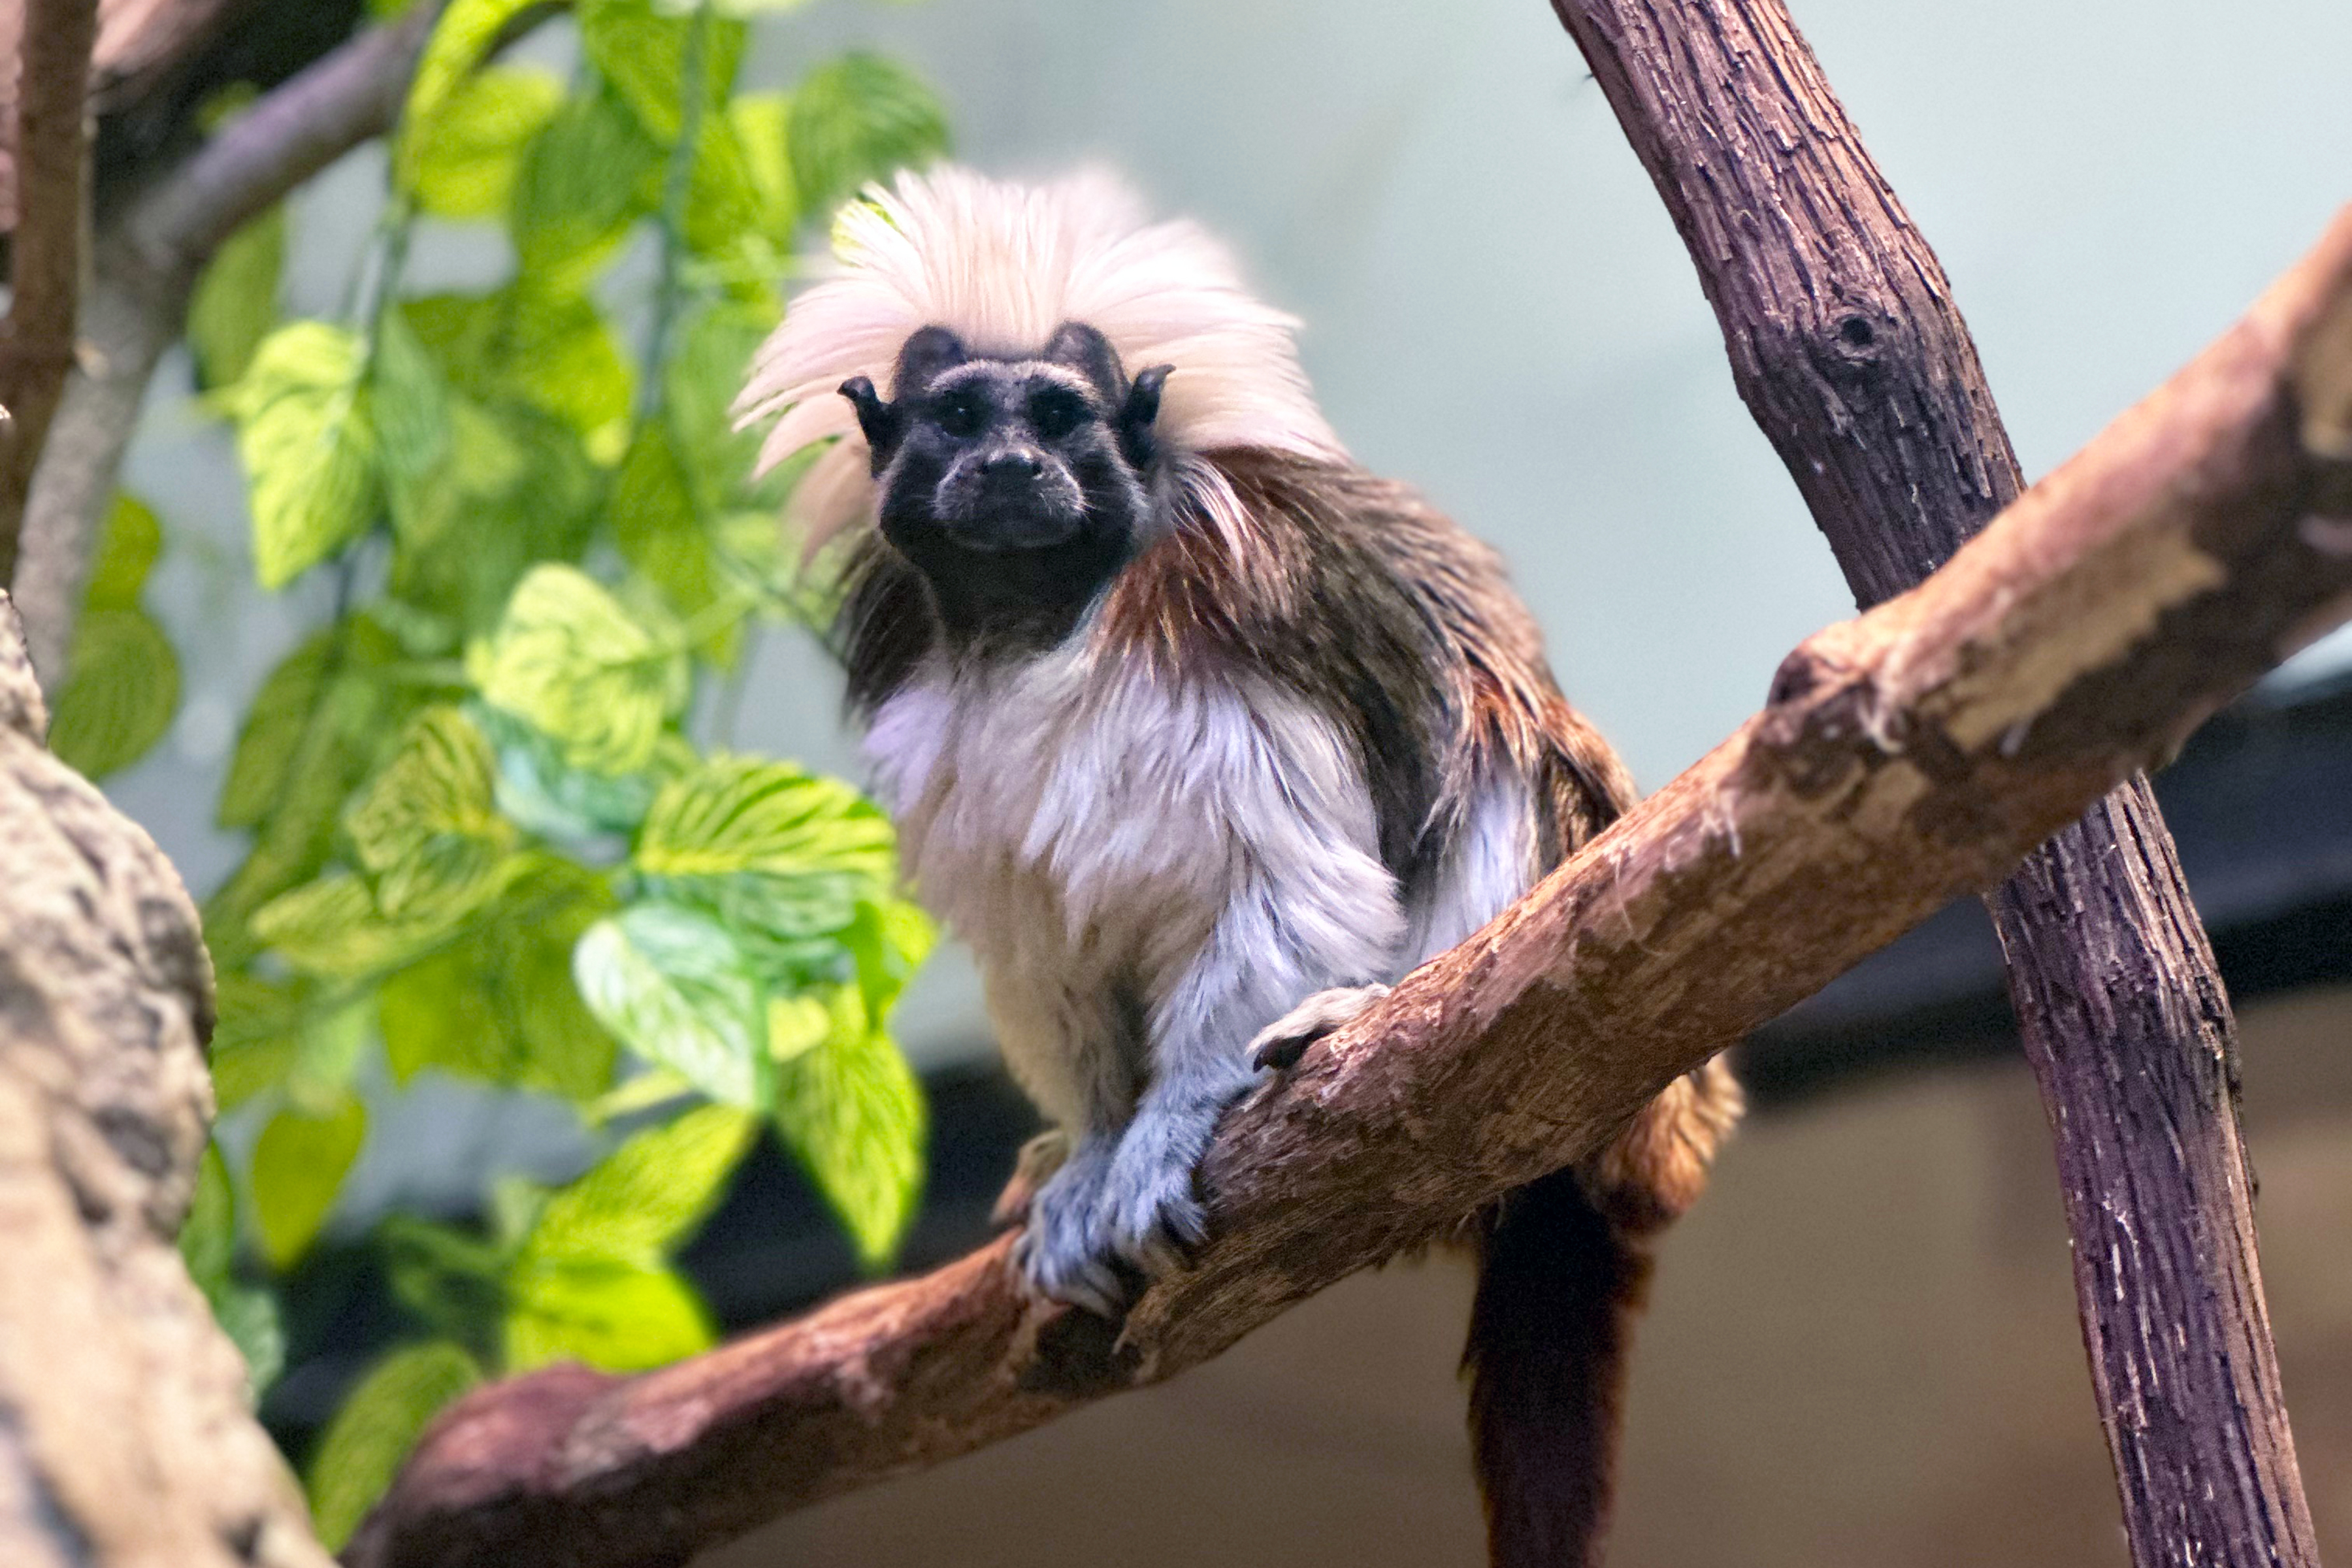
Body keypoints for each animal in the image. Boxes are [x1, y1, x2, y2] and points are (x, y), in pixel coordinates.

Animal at [738, 169, 1750, 1568]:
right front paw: (1091, 1152)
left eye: (1060, 420)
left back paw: (1372, 1010)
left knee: (1498, 745)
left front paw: (1167, 1127)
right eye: (959, 420)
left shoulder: (1228, 633)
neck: (1043, 621)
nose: (1012, 468)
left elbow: (1289, 884)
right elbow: (1042, 948)